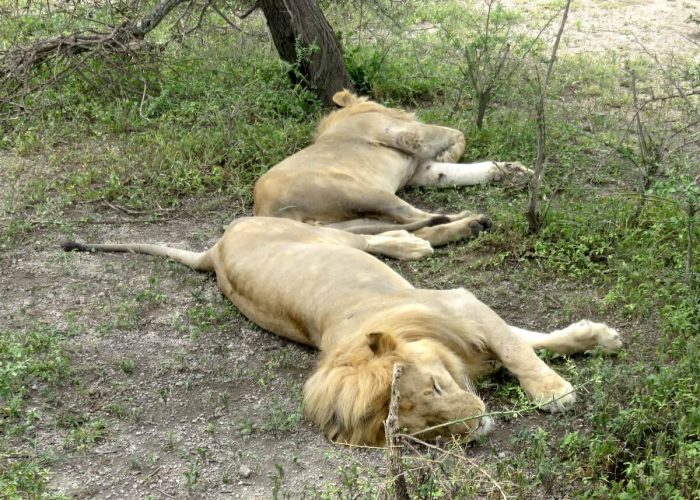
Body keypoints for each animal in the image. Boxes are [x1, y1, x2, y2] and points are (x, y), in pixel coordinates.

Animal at [61, 219, 624, 446]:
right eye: (416, 430)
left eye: (436, 385)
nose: (478, 424)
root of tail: (214, 250)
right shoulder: (462, 324)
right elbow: (522, 339)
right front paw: (590, 342)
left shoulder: (460, 302)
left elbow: (519, 345)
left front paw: (559, 384)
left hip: (315, 235)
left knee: (367, 233)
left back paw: (426, 240)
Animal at [254, 91, 532, 247]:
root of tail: (267, 213)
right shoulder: (408, 134)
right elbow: (457, 133)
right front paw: (449, 153)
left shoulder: (420, 169)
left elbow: (458, 172)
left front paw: (512, 171)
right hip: (362, 192)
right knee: (413, 217)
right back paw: (469, 217)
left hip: (356, 218)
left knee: (417, 230)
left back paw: (471, 226)